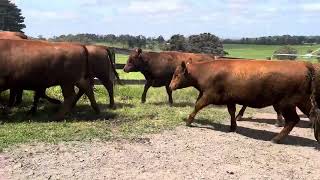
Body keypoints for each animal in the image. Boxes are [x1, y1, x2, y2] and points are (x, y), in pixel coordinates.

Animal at [169, 59, 318, 143]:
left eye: (176, 75)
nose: (170, 86)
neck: (206, 71)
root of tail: (304, 65)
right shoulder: (229, 98)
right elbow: (231, 111)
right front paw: (233, 127)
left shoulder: (208, 95)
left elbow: (197, 106)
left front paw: (189, 121)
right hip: (303, 101)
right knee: (314, 116)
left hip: (287, 104)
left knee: (293, 120)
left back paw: (276, 139)